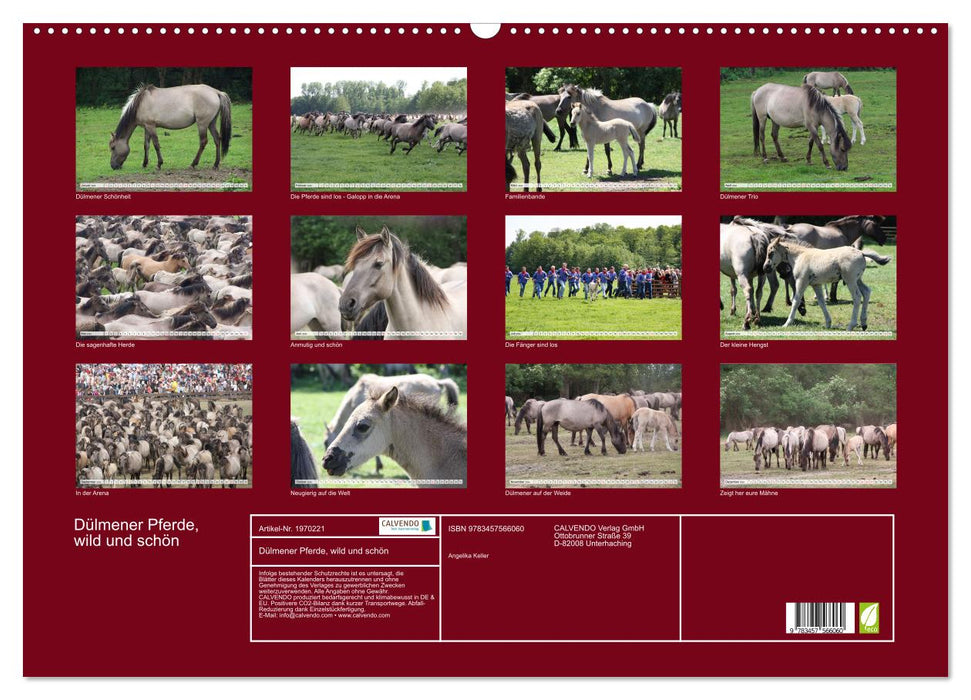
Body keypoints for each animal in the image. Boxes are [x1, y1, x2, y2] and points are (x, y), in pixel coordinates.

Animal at [763, 235, 891, 331]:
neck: (800, 256)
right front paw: (828, 323)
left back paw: (851, 325)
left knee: (857, 297)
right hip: (857, 279)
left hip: (850, 280)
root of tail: (861, 253)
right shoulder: (816, 284)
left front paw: (787, 323)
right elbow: (821, 302)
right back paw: (864, 323)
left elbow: (796, 300)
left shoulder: (801, 281)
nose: (765, 267)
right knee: (866, 292)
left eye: (771, 253)